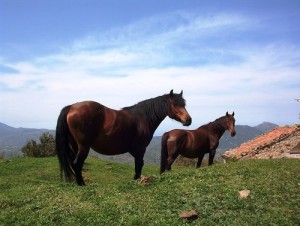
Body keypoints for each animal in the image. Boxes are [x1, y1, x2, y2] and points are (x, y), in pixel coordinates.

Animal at [55, 90, 192, 185]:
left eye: (184, 104)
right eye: (175, 104)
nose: (188, 120)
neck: (143, 117)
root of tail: (71, 107)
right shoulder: (140, 149)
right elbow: (139, 165)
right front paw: (137, 180)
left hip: (75, 145)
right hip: (84, 146)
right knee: (77, 163)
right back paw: (82, 184)